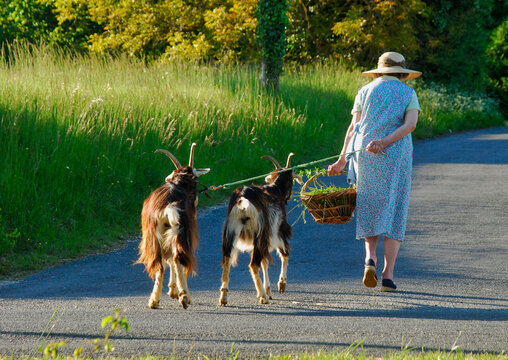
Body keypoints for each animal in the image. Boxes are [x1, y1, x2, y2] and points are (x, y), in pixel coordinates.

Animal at [136, 143, 209, 310]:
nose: (196, 201)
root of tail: (168, 207)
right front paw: (176, 292)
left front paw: (171, 291)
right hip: (180, 231)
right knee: (178, 258)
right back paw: (184, 296)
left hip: (154, 235)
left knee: (160, 263)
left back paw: (154, 300)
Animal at [218, 153, 302, 306]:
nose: (289, 196)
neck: (275, 189)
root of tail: (243, 201)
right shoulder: (277, 230)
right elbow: (284, 253)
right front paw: (279, 285)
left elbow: (265, 261)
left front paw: (266, 290)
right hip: (260, 231)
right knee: (254, 264)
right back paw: (263, 298)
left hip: (230, 231)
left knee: (227, 259)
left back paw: (224, 297)